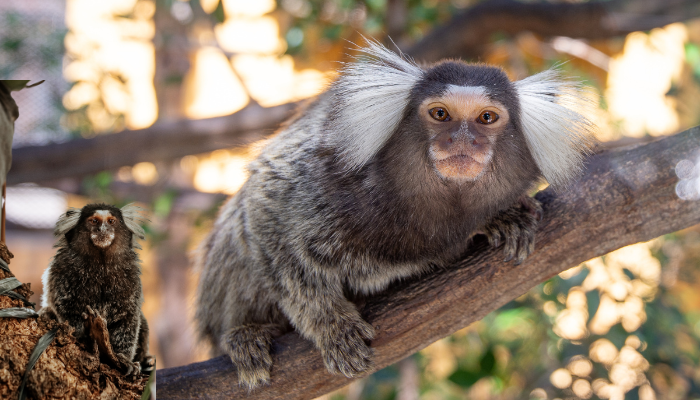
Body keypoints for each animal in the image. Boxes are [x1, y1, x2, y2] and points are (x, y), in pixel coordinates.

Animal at [41, 203, 154, 376]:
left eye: (111, 221)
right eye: (94, 221)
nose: (102, 229)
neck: (101, 265)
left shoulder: (131, 277)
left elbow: (128, 319)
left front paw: (124, 359)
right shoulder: (62, 269)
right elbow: (66, 308)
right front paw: (82, 335)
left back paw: (145, 361)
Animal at [197, 40, 596, 388]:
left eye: (487, 118)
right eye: (440, 113)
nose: (462, 140)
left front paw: (504, 217)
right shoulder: (325, 170)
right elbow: (266, 209)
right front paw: (331, 326)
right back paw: (248, 334)